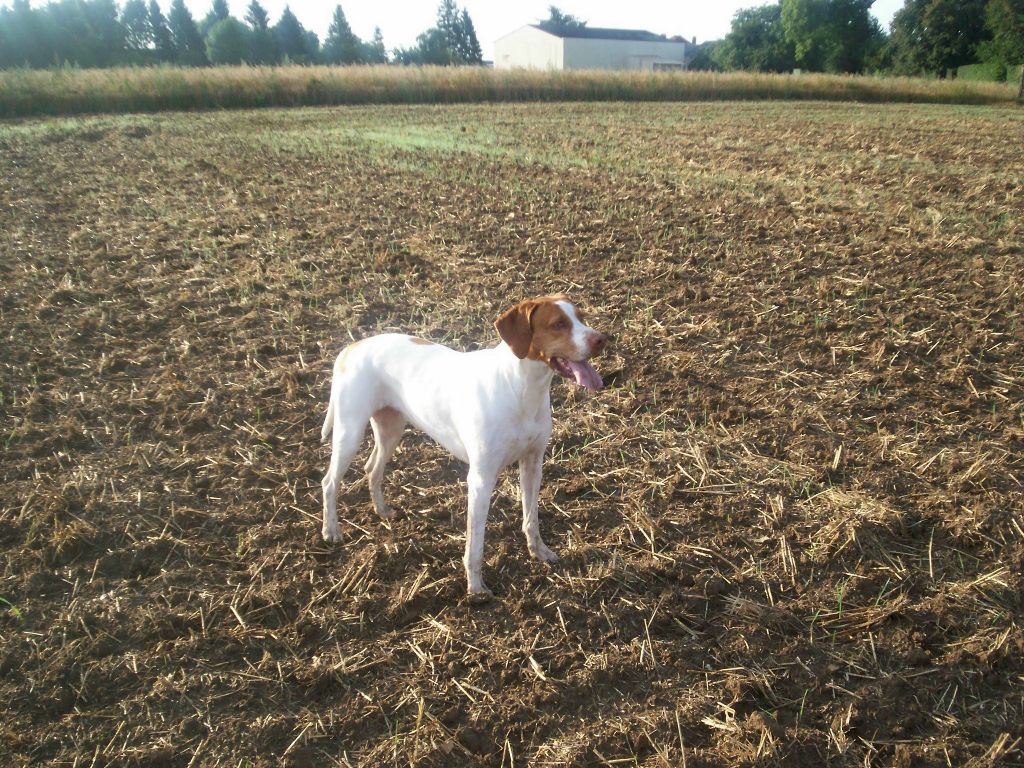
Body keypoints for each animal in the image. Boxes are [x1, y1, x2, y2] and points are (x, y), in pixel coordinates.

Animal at [319, 294, 606, 593]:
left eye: (581, 317)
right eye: (558, 324)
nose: (603, 339)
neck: (520, 387)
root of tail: (352, 347)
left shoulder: (533, 464)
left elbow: (531, 519)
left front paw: (539, 552)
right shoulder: (480, 479)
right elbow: (475, 544)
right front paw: (476, 589)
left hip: (391, 429)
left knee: (371, 468)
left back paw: (382, 510)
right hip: (349, 432)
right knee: (329, 482)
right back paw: (331, 531)